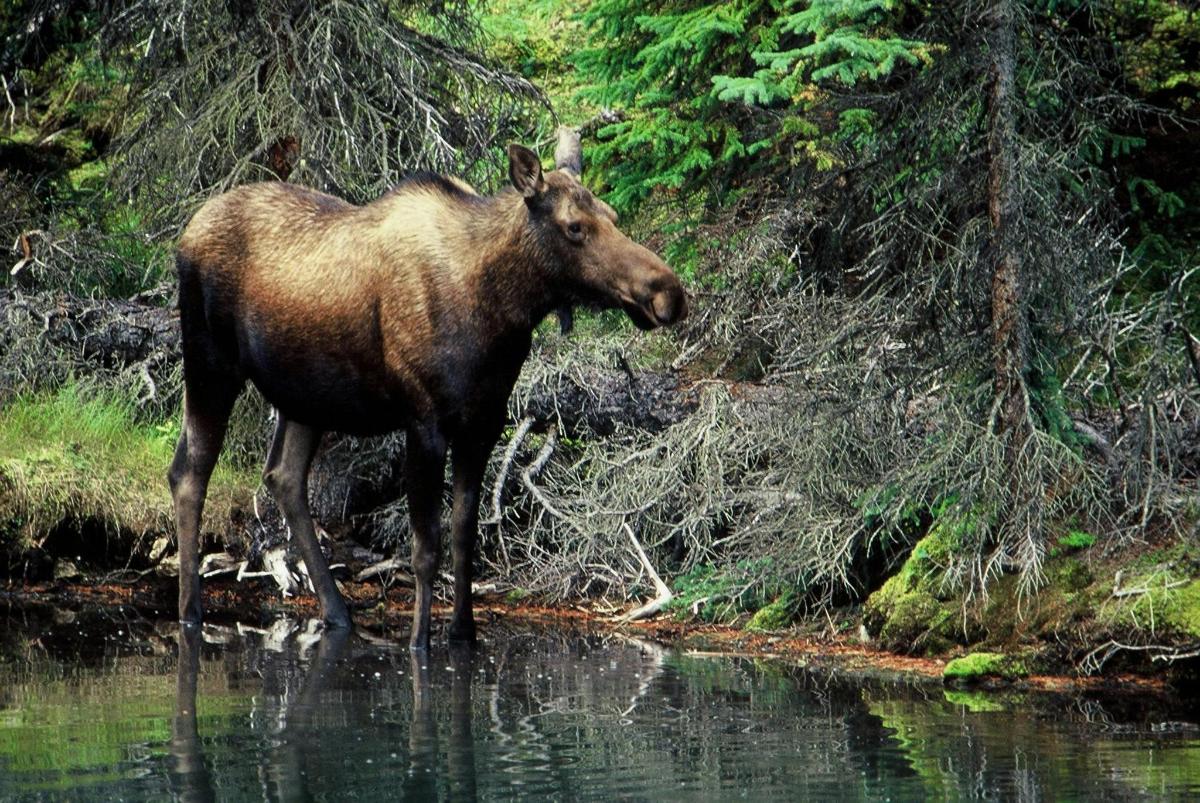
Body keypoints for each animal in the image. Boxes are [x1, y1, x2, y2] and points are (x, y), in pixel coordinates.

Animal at [172, 128, 691, 648]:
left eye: (613, 216)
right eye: (575, 227)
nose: (668, 293)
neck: (501, 311)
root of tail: (184, 235)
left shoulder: (484, 423)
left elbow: (465, 535)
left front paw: (464, 633)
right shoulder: (425, 422)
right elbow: (425, 548)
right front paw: (421, 642)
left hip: (304, 395)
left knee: (282, 476)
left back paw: (338, 613)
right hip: (209, 362)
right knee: (189, 473)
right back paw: (191, 611)